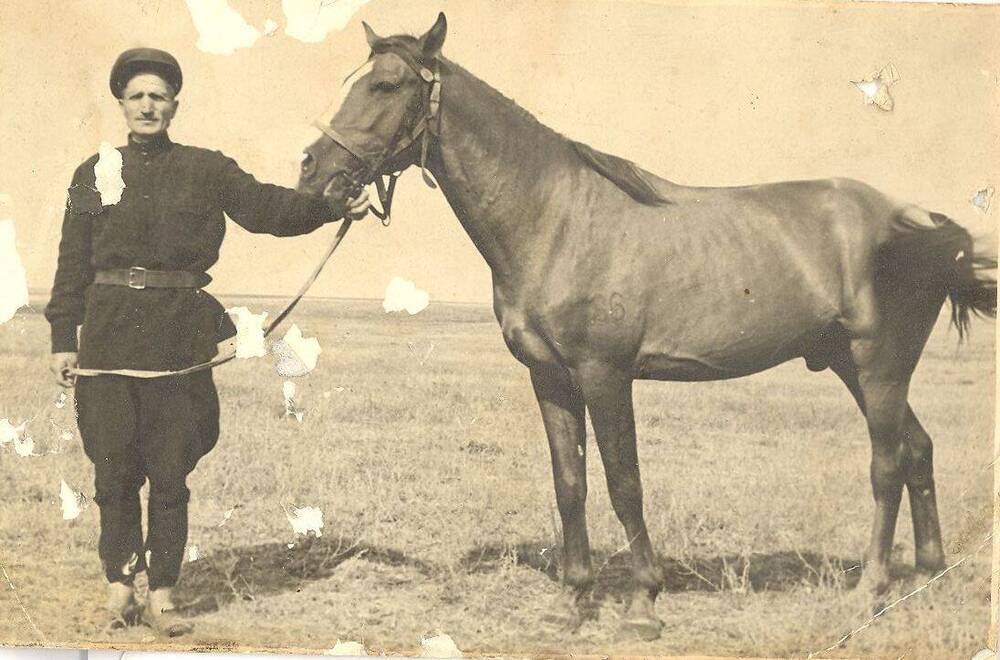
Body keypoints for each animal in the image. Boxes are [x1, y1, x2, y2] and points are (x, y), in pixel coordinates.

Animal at [292, 10, 996, 640]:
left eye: (386, 85)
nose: (312, 170)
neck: (556, 218)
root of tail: (919, 220)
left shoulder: (606, 375)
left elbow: (623, 483)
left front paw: (641, 605)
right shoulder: (550, 378)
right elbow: (570, 483)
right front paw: (572, 603)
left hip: (880, 365)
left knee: (887, 465)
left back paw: (869, 590)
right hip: (857, 367)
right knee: (917, 450)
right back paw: (926, 576)